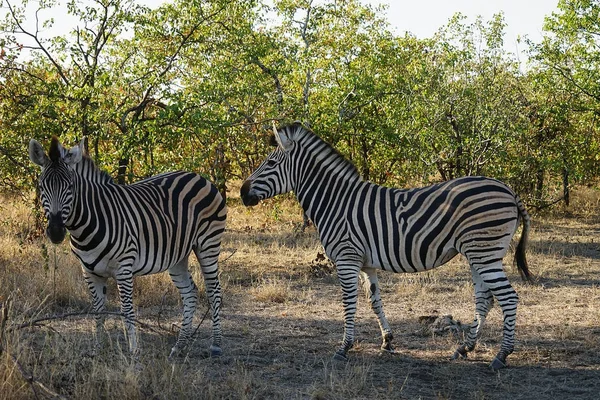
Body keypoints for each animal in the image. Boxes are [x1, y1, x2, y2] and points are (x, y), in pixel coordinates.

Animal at [28, 136, 225, 358]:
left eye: (70, 186)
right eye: (41, 186)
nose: (55, 231)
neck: (88, 224)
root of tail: (199, 177)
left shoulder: (124, 268)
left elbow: (127, 310)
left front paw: (133, 351)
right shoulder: (89, 272)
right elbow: (98, 311)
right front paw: (97, 350)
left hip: (208, 244)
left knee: (214, 291)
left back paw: (216, 345)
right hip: (177, 254)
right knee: (190, 292)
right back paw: (179, 346)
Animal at [241, 121, 532, 368]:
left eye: (270, 162)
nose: (243, 193)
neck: (335, 202)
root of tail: (508, 190)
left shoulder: (346, 258)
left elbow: (349, 302)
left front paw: (344, 348)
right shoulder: (365, 263)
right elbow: (374, 300)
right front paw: (387, 342)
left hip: (484, 252)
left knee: (508, 298)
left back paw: (501, 355)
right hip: (479, 255)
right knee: (485, 299)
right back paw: (464, 349)